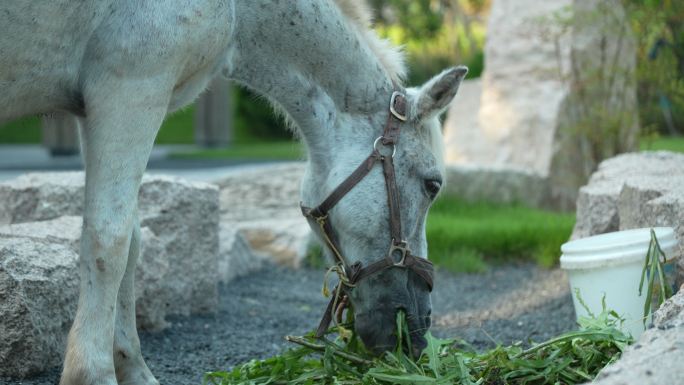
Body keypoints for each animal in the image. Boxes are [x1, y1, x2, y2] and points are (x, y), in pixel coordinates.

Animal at [0, 1, 464, 382]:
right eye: (432, 184)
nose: (417, 332)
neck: (237, 8)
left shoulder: (96, 110)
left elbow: (131, 243)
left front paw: (131, 367)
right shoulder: (129, 91)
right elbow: (109, 240)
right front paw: (93, 372)